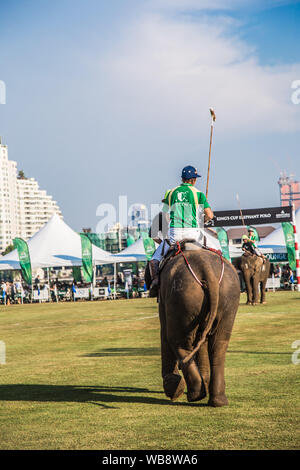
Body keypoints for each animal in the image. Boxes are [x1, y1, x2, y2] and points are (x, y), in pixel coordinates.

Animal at [146, 244, 240, 406]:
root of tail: (206, 268)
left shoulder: (164, 298)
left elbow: (164, 330)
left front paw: (173, 388)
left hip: (182, 296)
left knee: (177, 341)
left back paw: (193, 394)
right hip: (228, 296)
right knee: (219, 345)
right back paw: (217, 400)